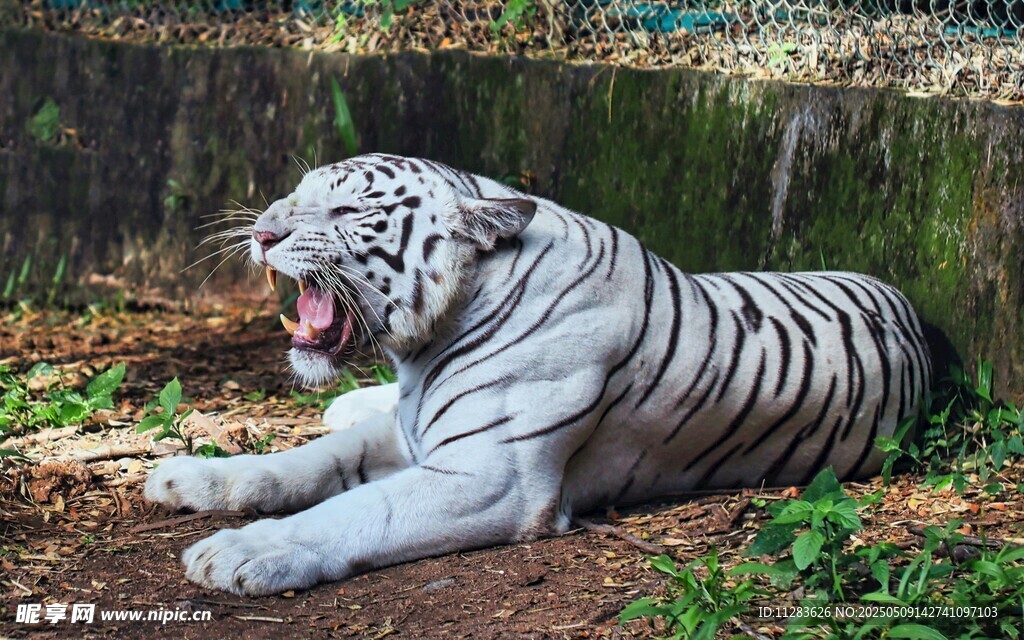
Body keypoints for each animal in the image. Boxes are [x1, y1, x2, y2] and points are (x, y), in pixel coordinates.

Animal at [144, 153, 932, 596]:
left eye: (347, 207)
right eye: (295, 193)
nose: (261, 232)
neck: (429, 341)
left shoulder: (491, 477)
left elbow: (354, 510)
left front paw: (241, 551)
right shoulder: (408, 432)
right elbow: (300, 464)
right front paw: (189, 479)